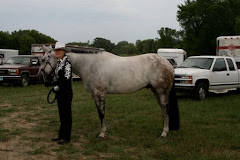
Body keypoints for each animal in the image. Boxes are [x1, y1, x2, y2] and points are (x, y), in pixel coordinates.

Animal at [39, 47, 178, 138]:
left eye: (45, 59)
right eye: (41, 59)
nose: (43, 78)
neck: (90, 64)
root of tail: (168, 63)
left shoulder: (99, 93)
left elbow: (101, 113)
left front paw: (102, 133)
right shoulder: (94, 95)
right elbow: (100, 113)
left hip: (161, 92)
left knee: (166, 109)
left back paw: (164, 132)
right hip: (156, 91)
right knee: (163, 110)